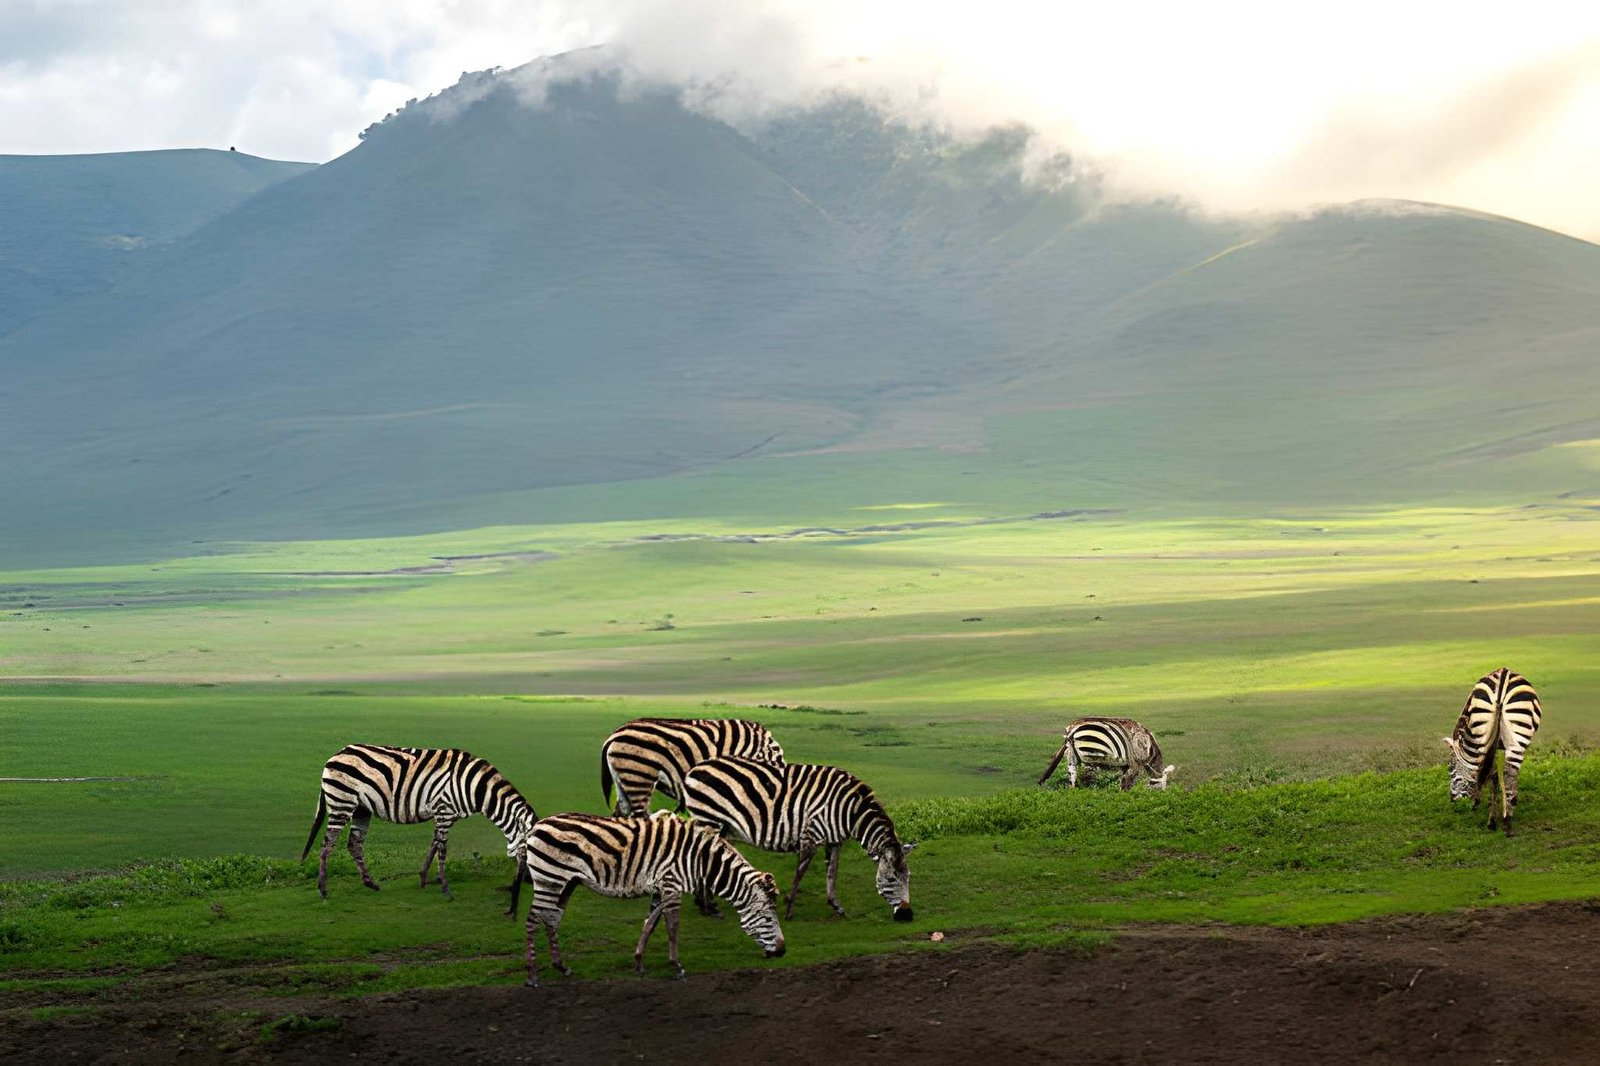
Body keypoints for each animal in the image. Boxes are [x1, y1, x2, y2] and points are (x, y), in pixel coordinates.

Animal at [300, 744, 537, 899]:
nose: (529, 883)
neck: (474, 786)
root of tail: (334, 755)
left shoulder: (446, 815)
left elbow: (433, 845)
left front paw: (423, 879)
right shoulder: (444, 810)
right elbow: (442, 849)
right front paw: (445, 888)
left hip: (361, 809)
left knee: (354, 844)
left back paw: (370, 883)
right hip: (342, 802)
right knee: (328, 843)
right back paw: (323, 889)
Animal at [510, 811, 785, 986]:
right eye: (767, 918)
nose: (782, 951)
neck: (700, 859)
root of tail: (536, 826)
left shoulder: (660, 887)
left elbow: (651, 922)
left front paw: (639, 962)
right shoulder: (672, 884)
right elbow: (672, 926)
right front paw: (677, 966)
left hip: (566, 882)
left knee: (551, 918)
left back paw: (561, 966)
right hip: (550, 878)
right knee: (533, 919)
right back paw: (532, 976)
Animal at [682, 757, 917, 922]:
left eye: (908, 877)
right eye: (890, 879)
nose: (907, 916)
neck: (852, 811)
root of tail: (694, 769)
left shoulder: (835, 841)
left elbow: (832, 872)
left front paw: (835, 905)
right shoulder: (811, 835)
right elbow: (799, 873)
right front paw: (788, 910)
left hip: (718, 826)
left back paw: (706, 904)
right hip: (708, 819)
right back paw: (708, 908)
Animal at [1037, 717, 1175, 791]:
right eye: (1159, 785)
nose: (1163, 795)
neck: (1148, 748)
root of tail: (1072, 729)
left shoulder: (1126, 766)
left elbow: (1123, 783)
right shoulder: (1135, 765)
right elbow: (1127, 785)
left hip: (1072, 756)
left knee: (1073, 779)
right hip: (1091, 758)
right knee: (1088, 780)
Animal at [1443, 667, 1543, 836]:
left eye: (1450, 768)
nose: (1452, 800)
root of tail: (1503, 674)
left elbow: (1490, 775)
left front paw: (1481, 808)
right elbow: (1495, 776)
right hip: (1516, 738)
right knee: (1509, 773)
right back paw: (1507, 820)